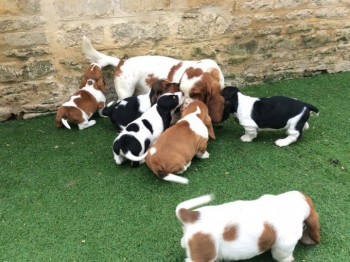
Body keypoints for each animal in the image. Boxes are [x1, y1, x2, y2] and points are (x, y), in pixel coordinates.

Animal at [176, 190, 322, 262]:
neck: (288, 205)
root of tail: (192, 216)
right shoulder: (284, 245)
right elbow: (283, 256)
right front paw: (290, 259)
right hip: (205, 257)